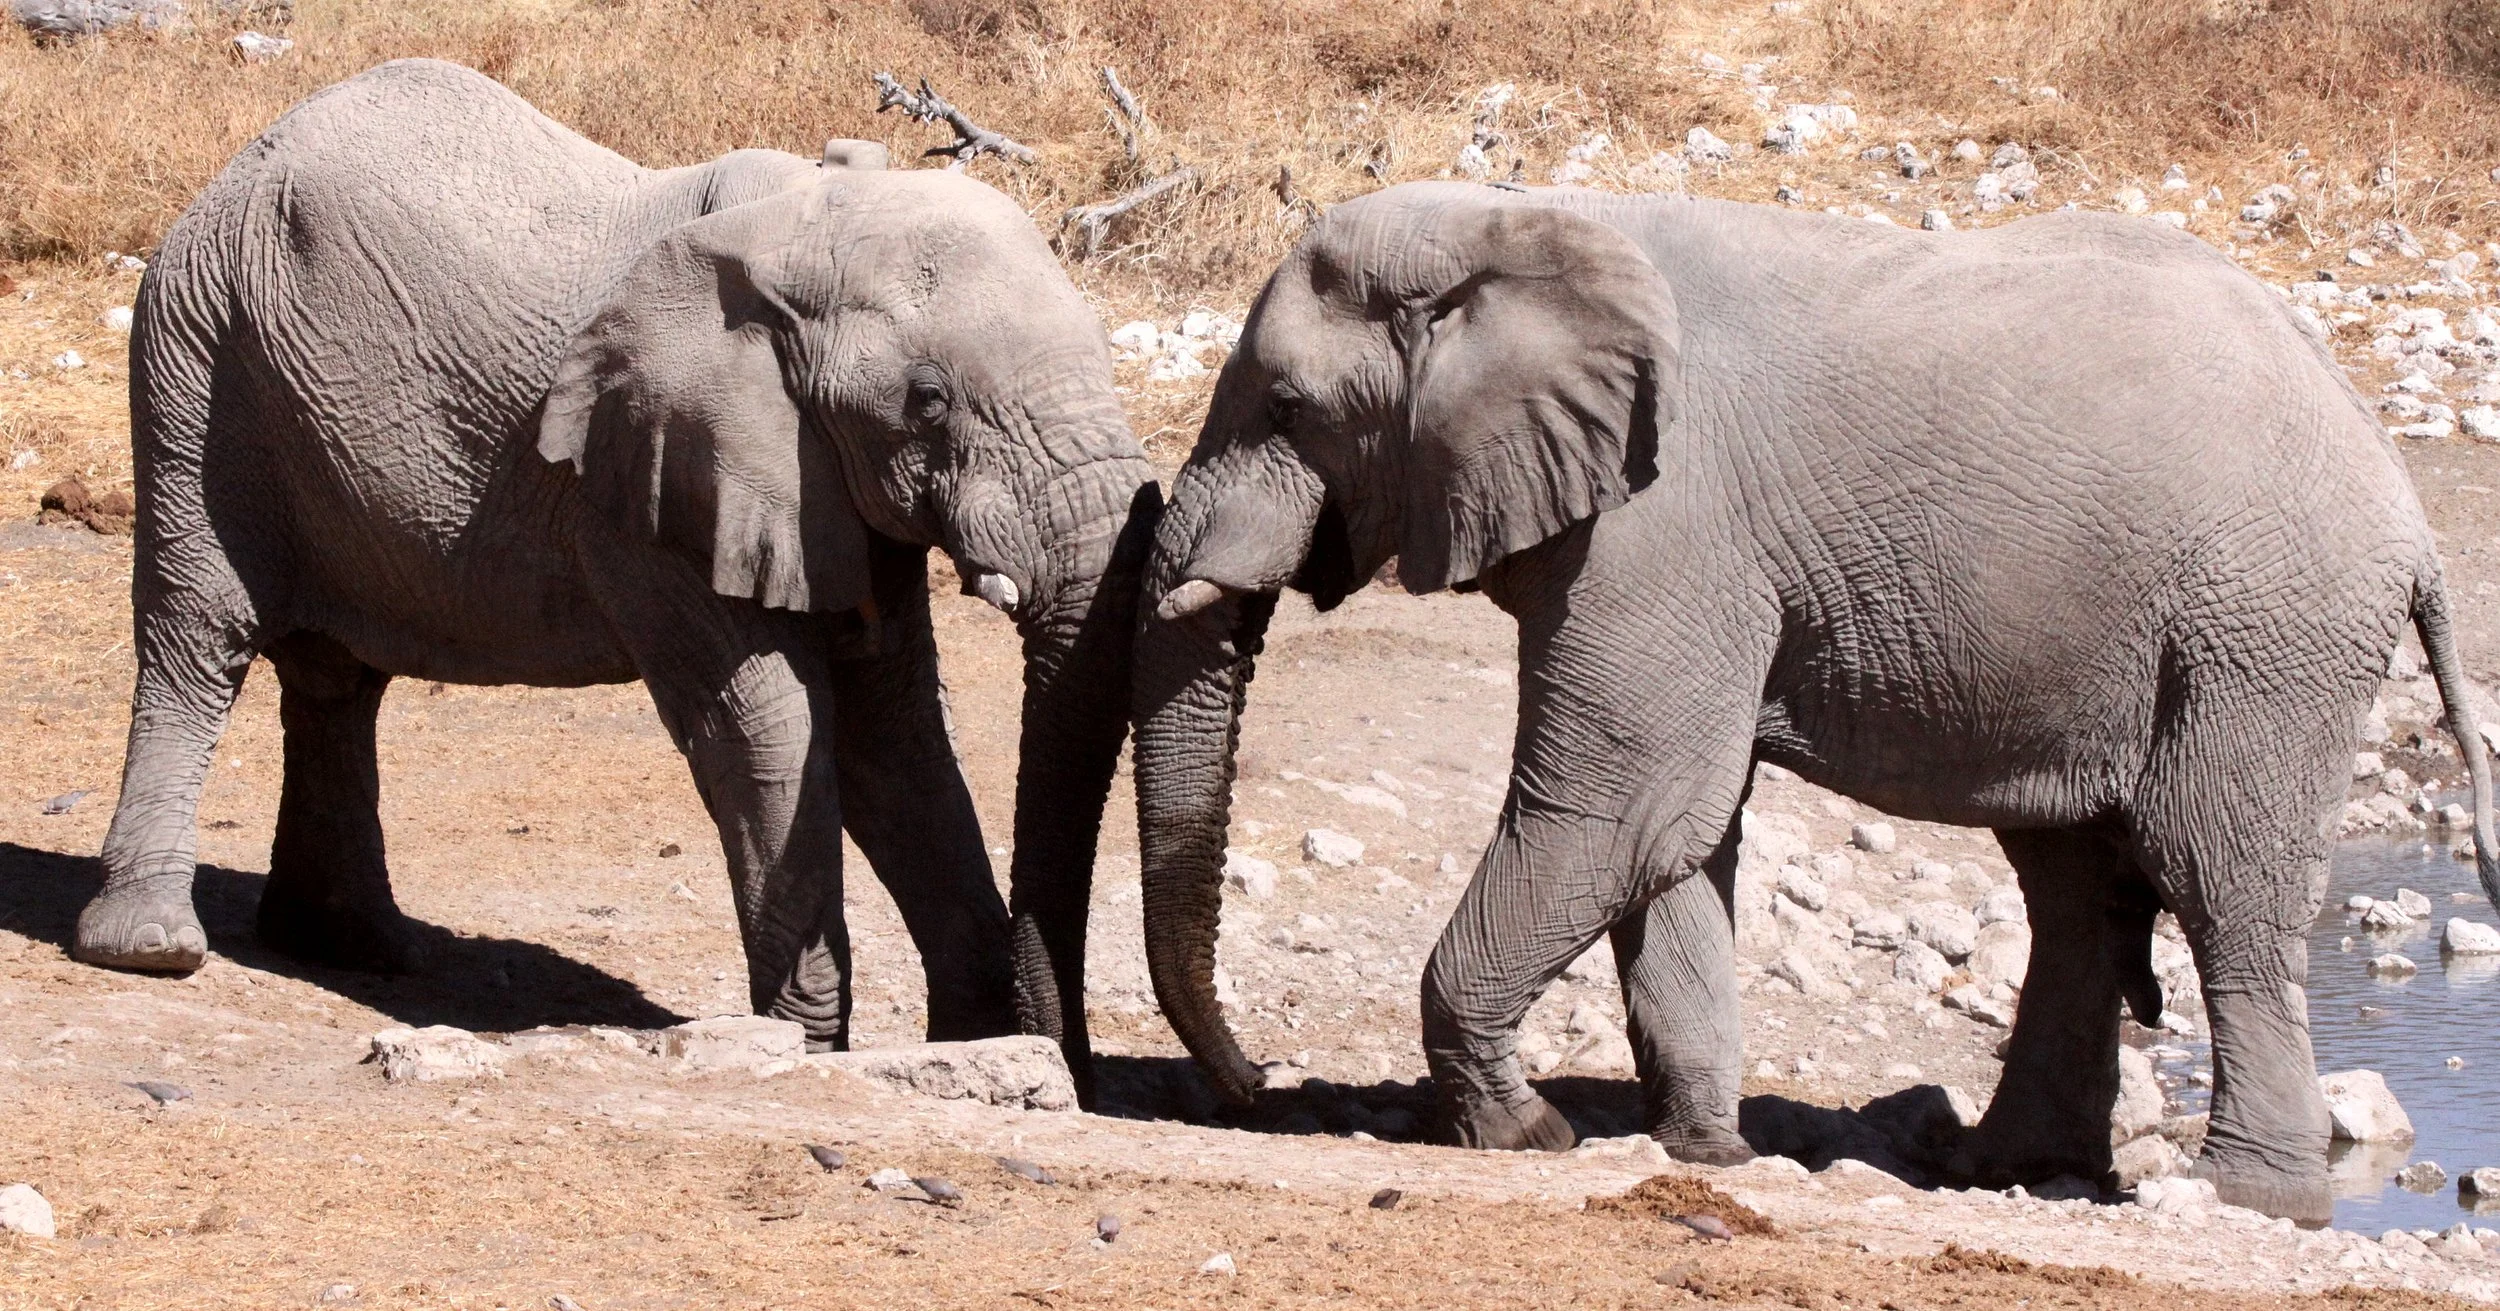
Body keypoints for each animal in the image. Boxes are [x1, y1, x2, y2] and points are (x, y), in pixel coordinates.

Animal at [72, 59, 1154, 1089]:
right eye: (928, 402)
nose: (1076, 1061)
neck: (805, 228)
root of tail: (228, 173)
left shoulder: (821, 488)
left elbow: (896, 737)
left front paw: (977, 1043)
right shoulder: (650, 478)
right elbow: (766, 724)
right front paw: (806, 1048)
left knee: (338, 681)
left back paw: (356, 945)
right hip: (198, 358)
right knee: (200, 635)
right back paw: (152, 947)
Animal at [1127, 180, 2500, 1223]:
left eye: (1288, 408)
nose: (1260, 1084)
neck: (1512, 223)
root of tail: (2398, 491)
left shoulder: (1664, 524)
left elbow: (1620, 808)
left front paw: (1524, 1137)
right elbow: (1676, 839)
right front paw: (1706, 1150)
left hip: (2264, 629)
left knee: (2219, 880)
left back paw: (2245, 1200)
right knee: (2071, 887)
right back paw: (2002, 1168)